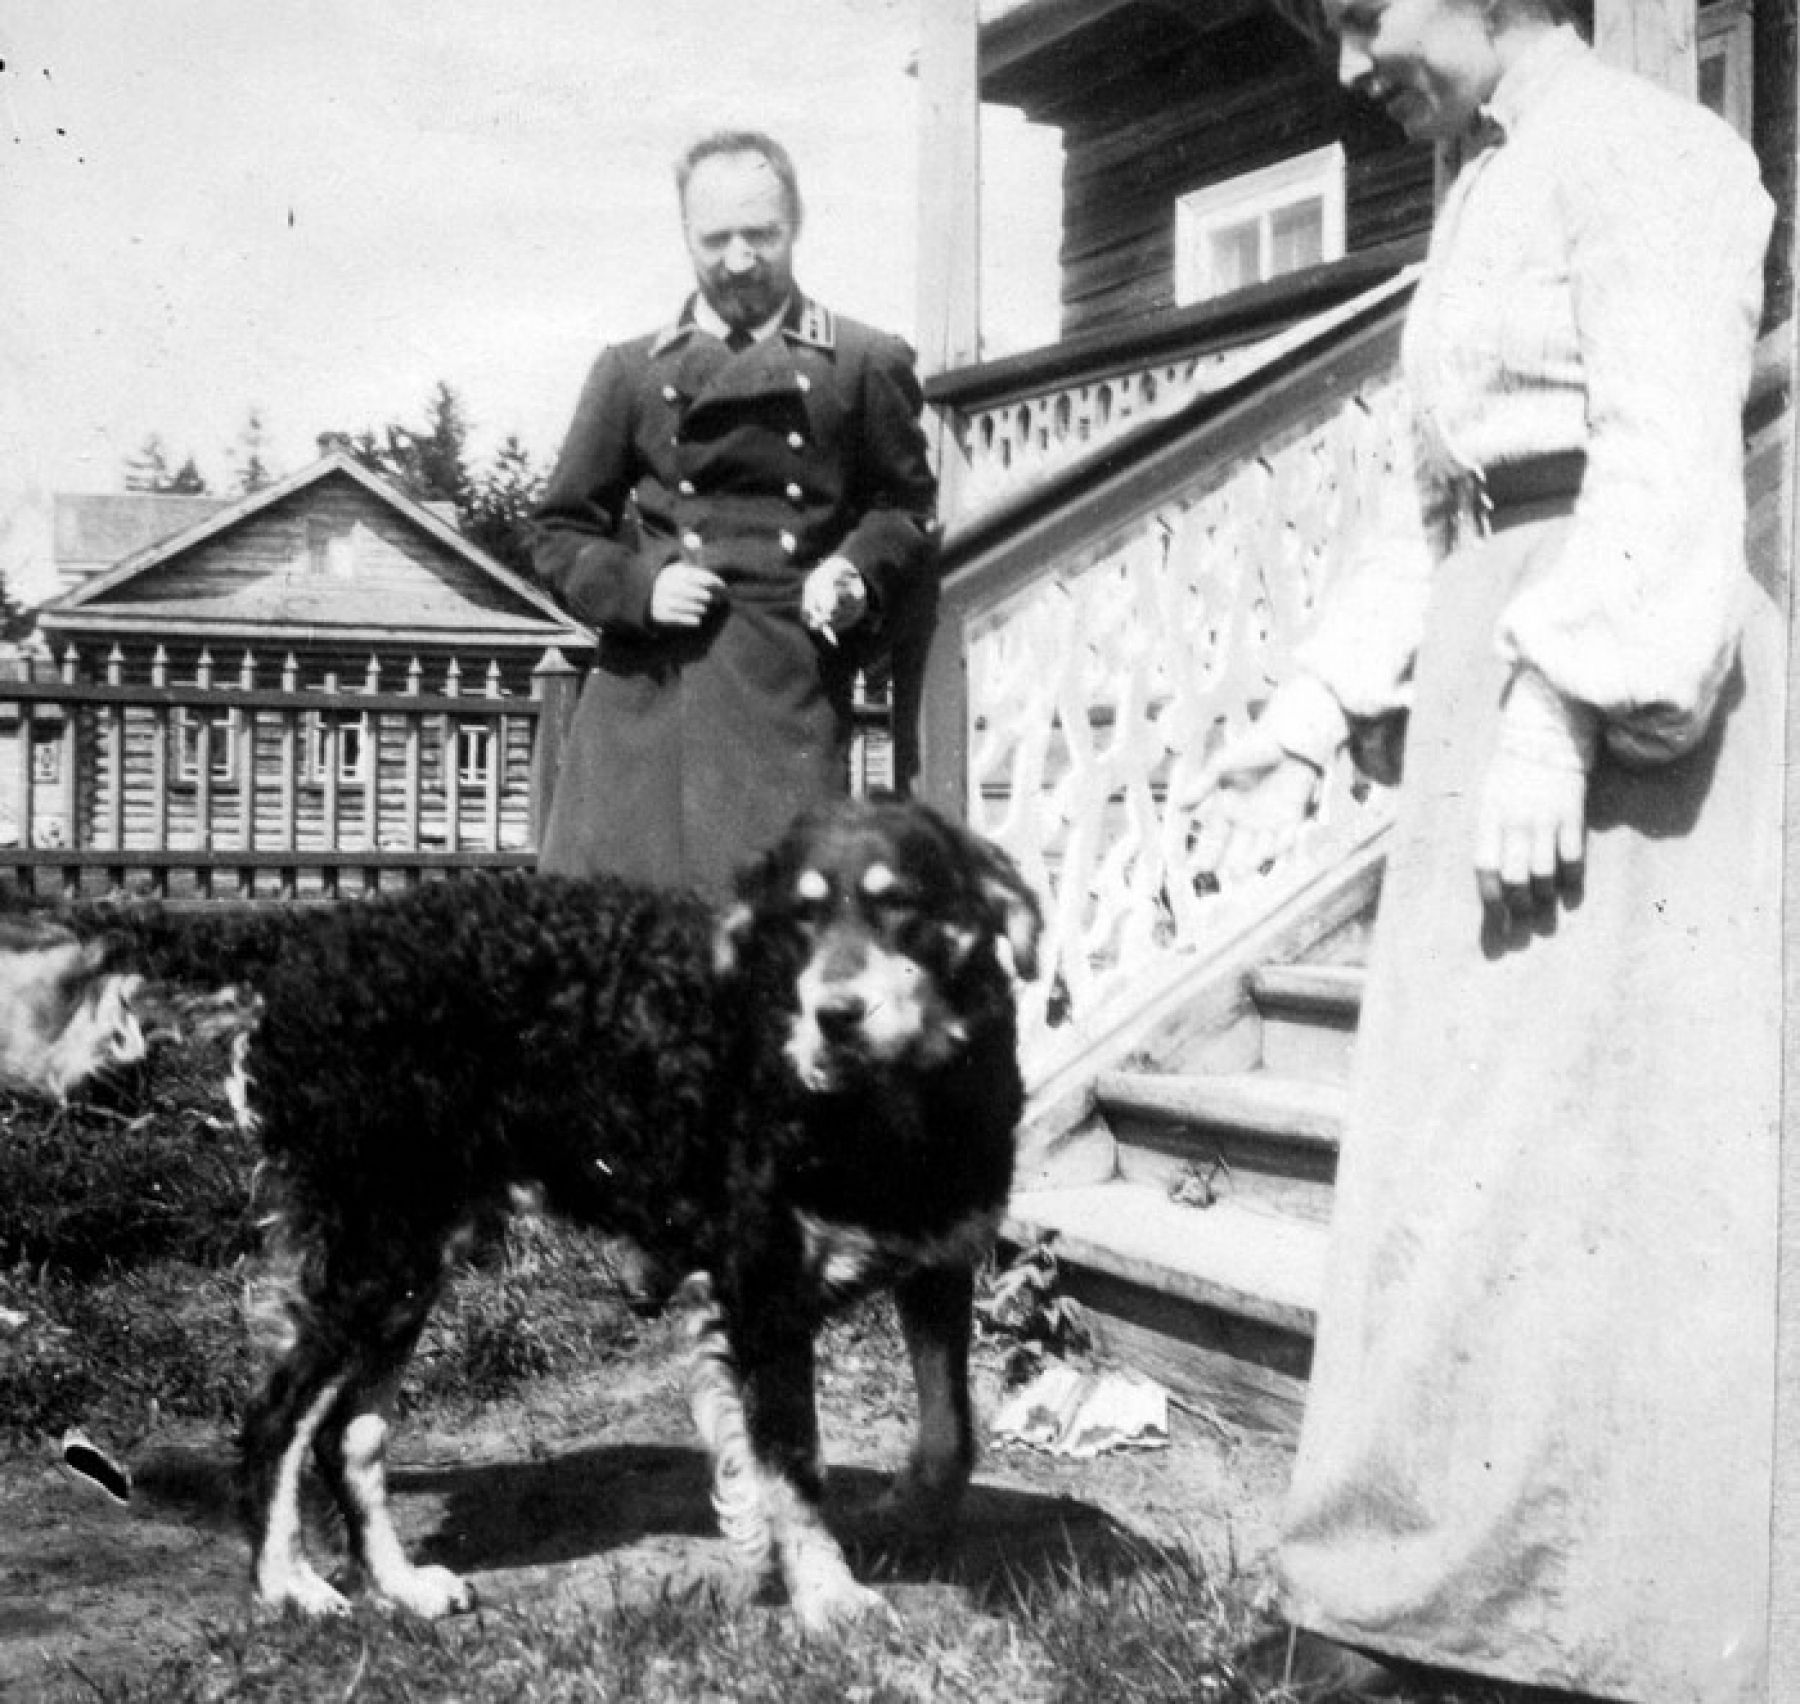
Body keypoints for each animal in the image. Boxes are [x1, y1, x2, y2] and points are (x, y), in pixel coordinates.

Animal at [116, 806, 1044, 1633]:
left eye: (904, 905)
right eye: (801, 917)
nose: (836, 1016)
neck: (893, 1111)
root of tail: (305, 939)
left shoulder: (939, 1264)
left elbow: (952, 1433)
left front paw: (908, 1520)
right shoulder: (765, 1295)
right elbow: (793, 1466)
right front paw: (830, 1598)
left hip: (410, 1261)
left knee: (349, 1434)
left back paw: (403, 1587)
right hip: (375, 1250)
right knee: (277, 1419)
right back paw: (290, 1587)